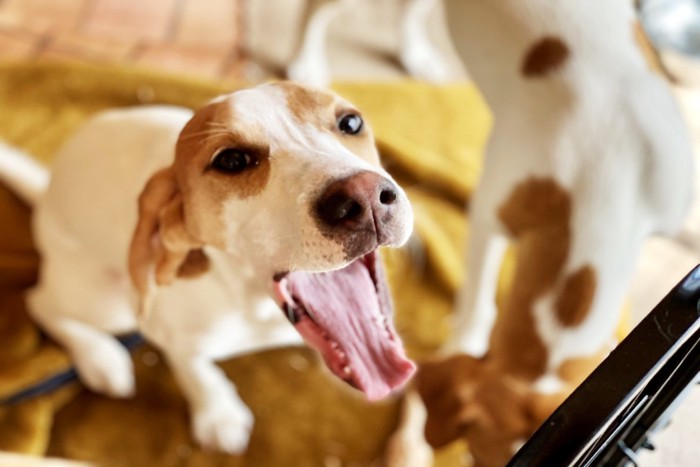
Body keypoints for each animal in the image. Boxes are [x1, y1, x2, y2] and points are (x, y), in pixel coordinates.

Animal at [0, 82, 416, 456]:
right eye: (231, 161)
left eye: (350, 122)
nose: (364, 198)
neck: (252, 305)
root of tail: (47, 194)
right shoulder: (168, 333)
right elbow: (194, 370)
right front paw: (218, 414)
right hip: (109, 304)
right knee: (40, 302)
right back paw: (99, 357)